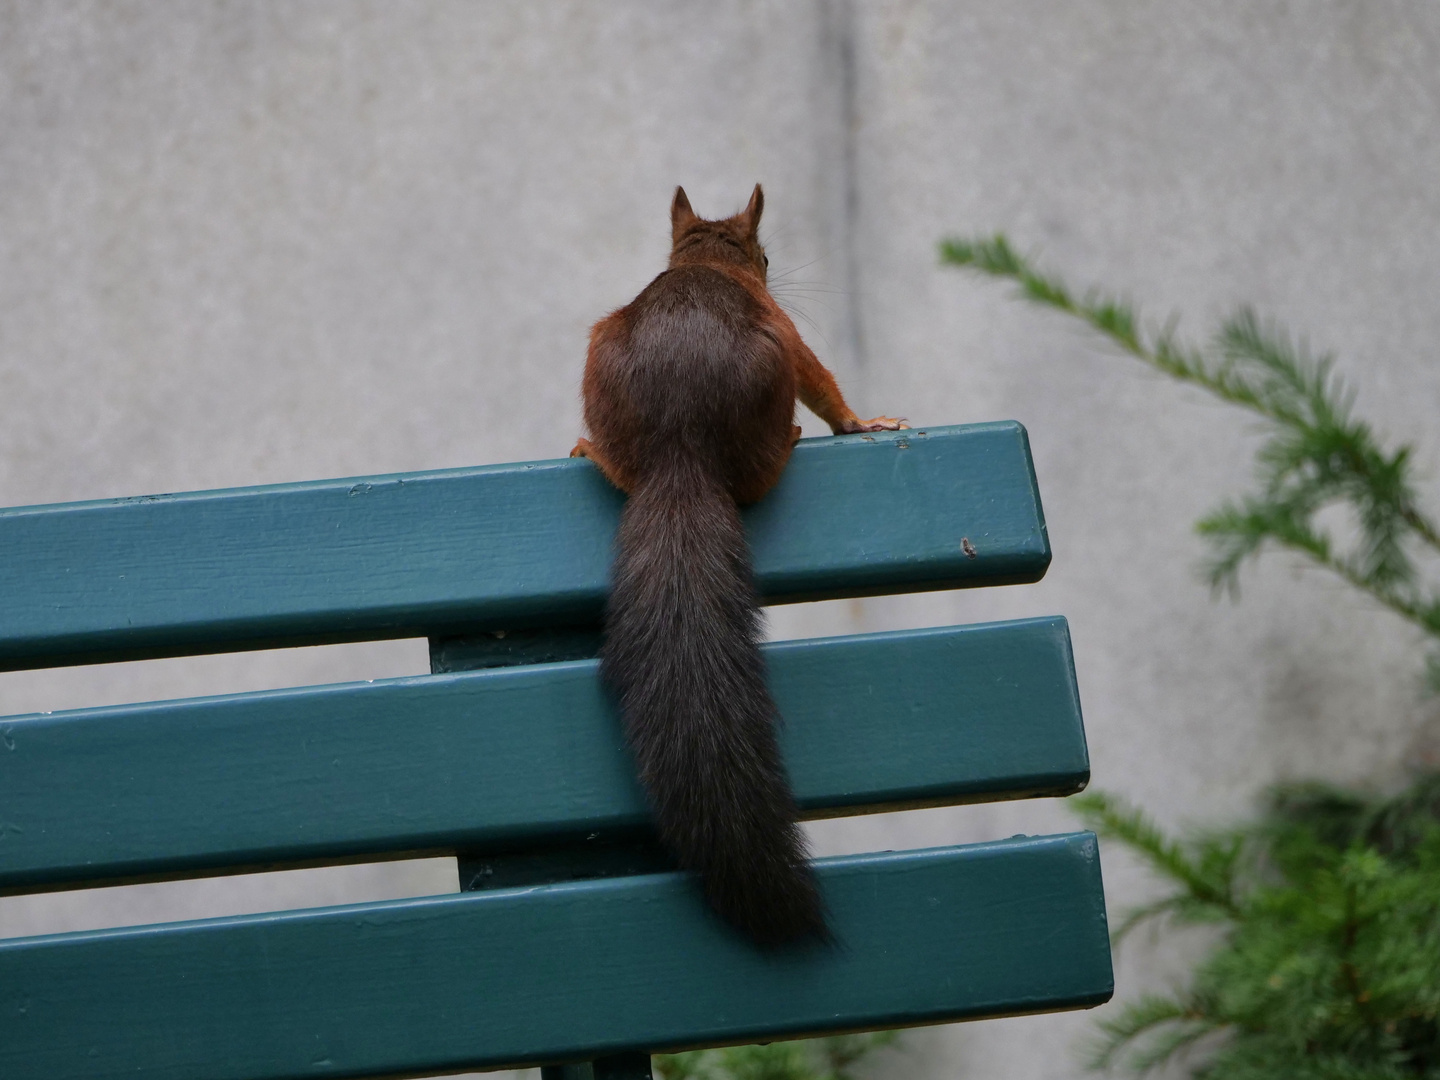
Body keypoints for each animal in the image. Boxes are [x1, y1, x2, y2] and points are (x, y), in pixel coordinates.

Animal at [570, 185, 898, 944]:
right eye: (768, 258)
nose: (772, 273)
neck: (711, 263)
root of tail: (682, 452)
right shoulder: (791, 335)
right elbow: (822, 378)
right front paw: (856, 421)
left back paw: (590, 449)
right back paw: (794, 437)